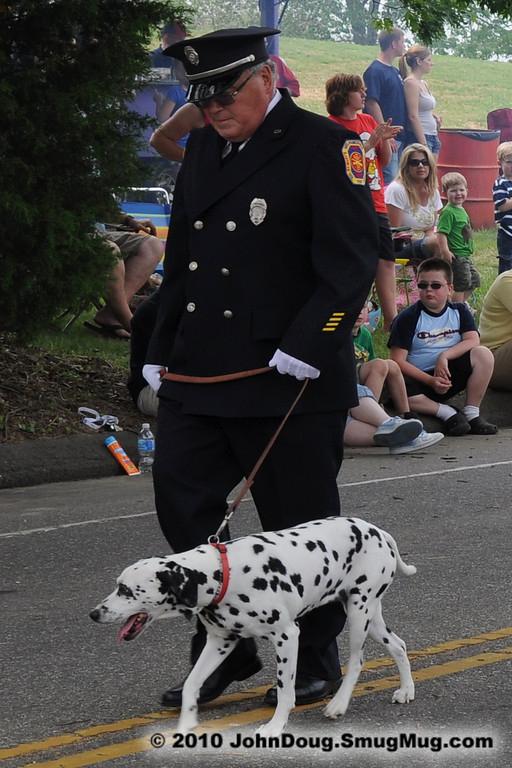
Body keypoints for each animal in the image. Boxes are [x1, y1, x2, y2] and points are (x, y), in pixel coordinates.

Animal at [89, 520, 416, 736]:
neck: (223, 573)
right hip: (370, 618)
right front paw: (187, 723)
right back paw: (406, 690)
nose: (94, 613)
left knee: (357, 661)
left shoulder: (287, 636)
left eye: (126, 590)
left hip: (359, 616)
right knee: (398, 645)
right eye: (119, 585)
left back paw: (338, 705)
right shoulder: (219, 642)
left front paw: (275, 727)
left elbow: (285, 690)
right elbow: (192, 685)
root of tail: (379, 532)